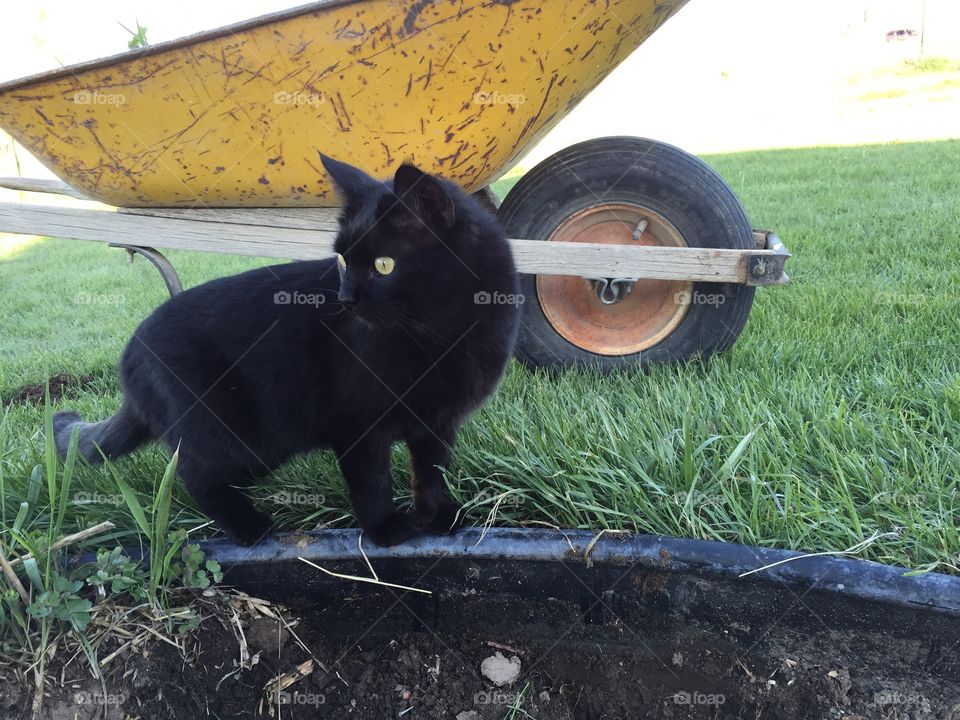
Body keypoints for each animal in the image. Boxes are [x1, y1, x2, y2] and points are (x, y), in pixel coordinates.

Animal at [52, 155, 516, 544]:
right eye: (343, 261)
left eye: (383, 265)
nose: (344, 298)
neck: (440, 334)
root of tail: (131, 351)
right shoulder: (356, 425)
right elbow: (372, 481)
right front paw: (385, 529)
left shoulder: (438, 423)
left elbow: (431, 472)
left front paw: (437, 517)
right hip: (237, 439)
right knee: (193, 474)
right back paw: (249, 527)